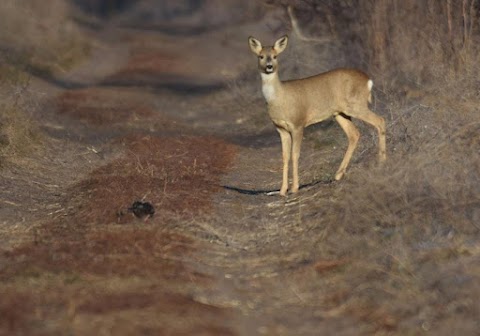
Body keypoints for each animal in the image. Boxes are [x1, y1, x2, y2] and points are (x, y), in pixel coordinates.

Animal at [248, 35, 386, 196]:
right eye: (261, 56)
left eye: (275, 56)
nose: (269, 66)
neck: (279, 98)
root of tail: (368, 80)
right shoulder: (281, 129)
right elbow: (284, 156)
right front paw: (282, 191)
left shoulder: (298, 123)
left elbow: (295, 154)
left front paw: (294, 188)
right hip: (340, 113)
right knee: (354, 134)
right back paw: (338, 174)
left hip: (356, 105)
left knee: (380, 120)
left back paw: (382, 162)